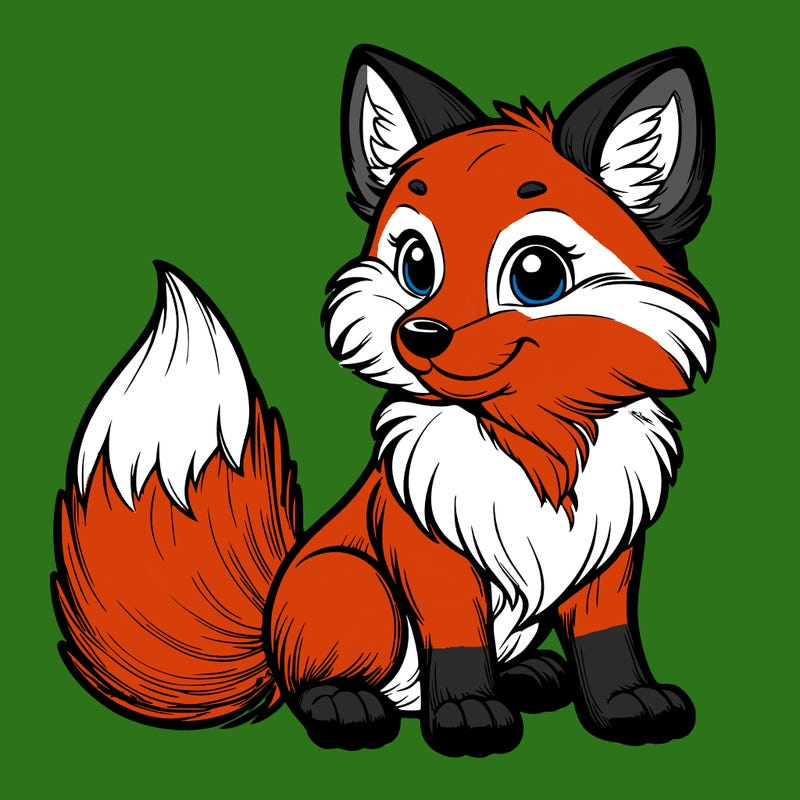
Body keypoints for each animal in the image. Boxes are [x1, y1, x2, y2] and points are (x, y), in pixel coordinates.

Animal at [53, 45, 716, 757]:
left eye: (535, 274)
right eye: (416, 264)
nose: (418, 333)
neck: (535, 441)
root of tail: (267, 632)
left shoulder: (610, 554)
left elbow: (607, 639)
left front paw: (626, 704)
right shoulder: (430, 553)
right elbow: (456, 641)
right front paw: (468, 715)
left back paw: (529, 675)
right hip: (352, 583)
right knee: (310, 685)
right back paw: (347, 707)